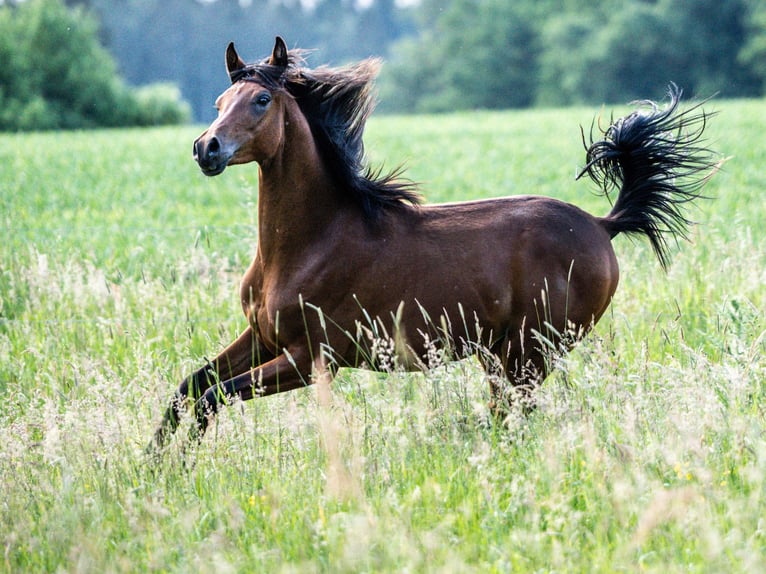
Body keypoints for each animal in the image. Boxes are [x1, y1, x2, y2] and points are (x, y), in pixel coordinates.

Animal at [152, 37, 720, 454]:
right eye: (219, 103)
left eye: (262, 100)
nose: (207, 148)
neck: (311, 243)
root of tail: (603, 226)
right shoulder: (263, 338)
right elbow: (189, 388)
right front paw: (155, 468)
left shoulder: (311, 358)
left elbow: (212, 396)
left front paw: (181, 468)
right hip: (502, 354)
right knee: (505, 415)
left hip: (532, 353)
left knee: (516, 416)